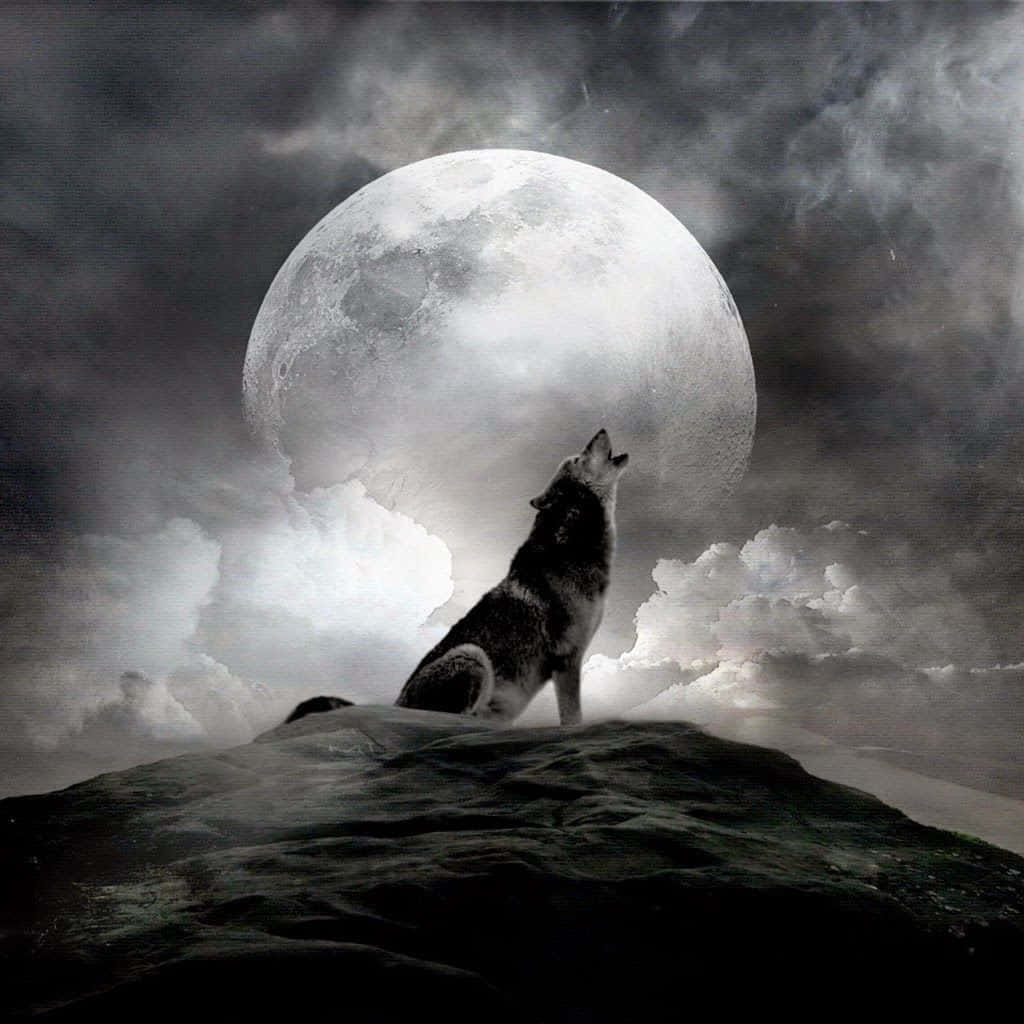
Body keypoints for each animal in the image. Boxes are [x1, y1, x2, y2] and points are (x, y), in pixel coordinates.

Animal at [394, 429, 628, 726]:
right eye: (578, 457)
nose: (601, 430)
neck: (572, 547)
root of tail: (395, 703)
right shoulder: (567, 659)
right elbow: (572, 717)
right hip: (472, 654)